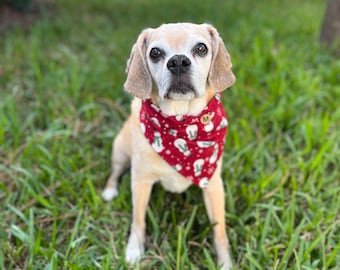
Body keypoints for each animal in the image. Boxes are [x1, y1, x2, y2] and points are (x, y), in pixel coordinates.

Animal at [103, 23, 236, 270]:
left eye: (201, 48)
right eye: (155, 53)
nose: (178, 61)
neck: (182, 122)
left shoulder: (213, 184)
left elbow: (220, 231)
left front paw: (225, 263)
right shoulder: (141, 181)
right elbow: (138, 220)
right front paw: (134, 250)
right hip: (120, 152)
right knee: (115, 173)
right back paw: (109, 190)